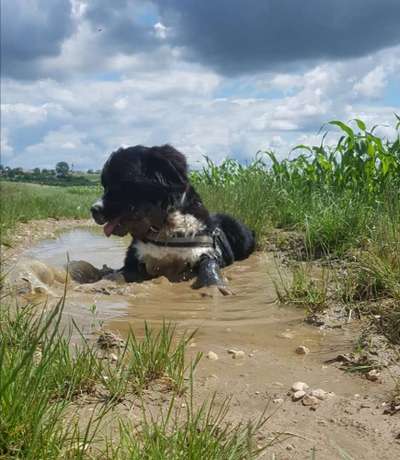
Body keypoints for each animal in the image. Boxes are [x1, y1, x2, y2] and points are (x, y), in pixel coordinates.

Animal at [90, 145, 255, 294]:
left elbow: (209, 266)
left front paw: (213, 286)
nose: (93, 210)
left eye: (120, 183)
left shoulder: (205, 252)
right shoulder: (136, 260)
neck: (163, 228)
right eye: (105, 185)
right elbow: (119, 273)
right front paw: (100, 284)